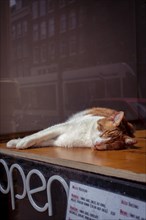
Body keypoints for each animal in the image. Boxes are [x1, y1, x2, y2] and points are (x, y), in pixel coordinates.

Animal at [6, 107, 136, 150]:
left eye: (110, 144)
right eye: (103, 133)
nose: (98, 144)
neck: (86, 137)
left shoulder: (59, 141)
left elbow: (42, 141)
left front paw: (19, 143)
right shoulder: (61, 127)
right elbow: (39, 135)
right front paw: (19, 142)